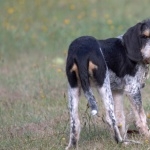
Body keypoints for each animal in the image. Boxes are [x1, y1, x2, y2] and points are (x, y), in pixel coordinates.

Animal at [65, 19, 150, 149]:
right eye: (144, 36)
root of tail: (81, 52)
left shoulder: (117, 91)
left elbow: (120, 119)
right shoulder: (133, 89)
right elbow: (141, 118)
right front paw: (147, 138)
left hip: (74, 89)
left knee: (75, 123)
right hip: (103, 86)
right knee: (110, 118)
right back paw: (122, 142)